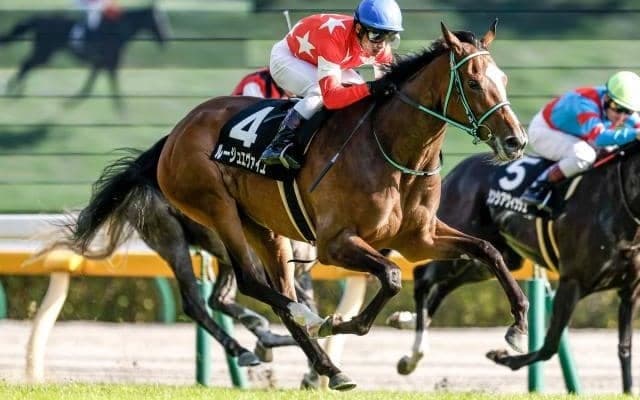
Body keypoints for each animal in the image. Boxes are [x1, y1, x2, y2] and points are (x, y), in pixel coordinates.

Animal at [0, 5, 170, 107]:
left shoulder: (100, 63)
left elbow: (90, 84)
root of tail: (40, 19)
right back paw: (12, 89)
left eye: (163, 20)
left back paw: (18, 91)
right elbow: (113, 85)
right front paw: (122, 110)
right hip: (44, 52)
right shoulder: (109, 63)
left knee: (27, 65)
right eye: (158, 21)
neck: (116, 30)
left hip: (43, 53)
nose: (165, 39)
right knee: (26, 65)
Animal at [66, 22, 528, 390]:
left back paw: (329, 367)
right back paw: (298, 325)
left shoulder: (420, 238)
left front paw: (517, 327)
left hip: (264, 229)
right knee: (248, 285)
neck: (391, 148)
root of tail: (175, 133)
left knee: (269, 292)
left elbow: (486, 250)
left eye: (504, 78)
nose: (516, 141)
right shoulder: (335, 244)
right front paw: (342, 323)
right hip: (213, 213)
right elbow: (392, 277)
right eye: (473, 82)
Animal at [388, 144, 640, 393]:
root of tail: (461, 168)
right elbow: (550, 346)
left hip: (490, 261)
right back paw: (413, 352)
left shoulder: (630, 292)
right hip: (450, 242)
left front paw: (628, 390)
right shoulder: (572, 282)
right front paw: (502, 355)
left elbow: (625, 347)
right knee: (423, 276)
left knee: (444, 286)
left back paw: (407, 326)